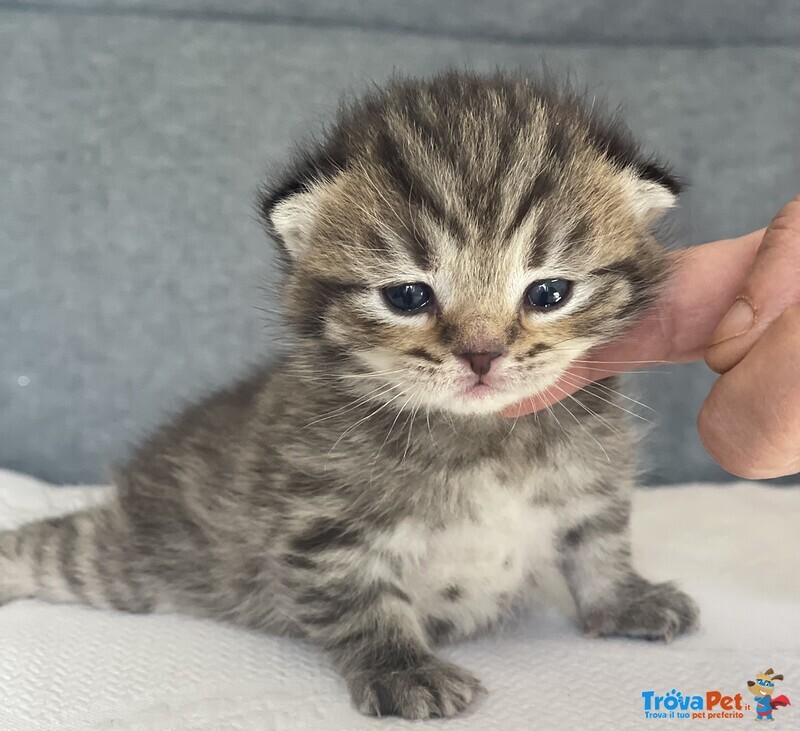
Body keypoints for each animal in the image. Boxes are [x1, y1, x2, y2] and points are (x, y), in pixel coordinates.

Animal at [0, 71, 696, 724]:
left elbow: (599, 548)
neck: (481, 438)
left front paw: (626, 600)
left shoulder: (592, 483)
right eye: (408, 297)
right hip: (130, 559)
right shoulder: (322, 529)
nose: (482, 355)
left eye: (550, 293)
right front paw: (403, 670)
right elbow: (362, 605)